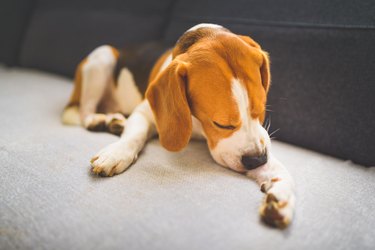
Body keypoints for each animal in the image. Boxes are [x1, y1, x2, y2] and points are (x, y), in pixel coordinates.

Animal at [62, 23, 296, 229]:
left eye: (262, 110)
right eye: (221, 124)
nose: (257, 160)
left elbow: (278, 168)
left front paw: (282, 195)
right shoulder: (143, 113)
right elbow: (135, 134)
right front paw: (116, 153)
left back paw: (114, 121)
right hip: (102, 57)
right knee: (84, 111)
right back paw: (99, 120)